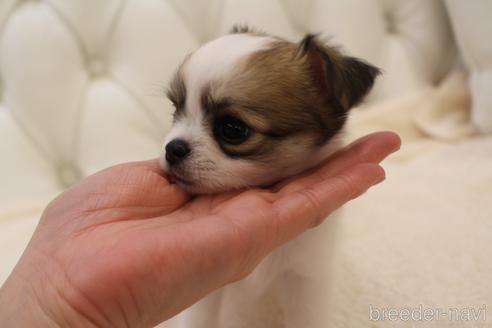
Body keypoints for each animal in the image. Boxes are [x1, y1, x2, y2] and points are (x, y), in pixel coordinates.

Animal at [160, 26, 378, 328]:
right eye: (175, 109)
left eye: (233, 129)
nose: (172, 149)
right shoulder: (207, 291)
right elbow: (199, 320)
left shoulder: (305, 279)